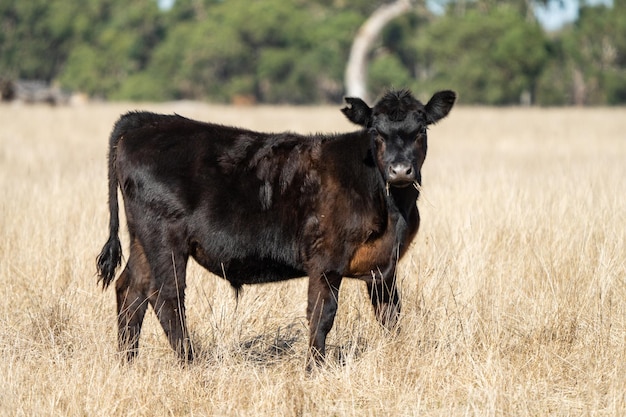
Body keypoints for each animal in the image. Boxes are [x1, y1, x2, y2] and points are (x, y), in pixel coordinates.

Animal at [96, 88, 454, 368]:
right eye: (375, 132)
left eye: (421, 130)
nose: (400, 170)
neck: (392, 207)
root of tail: (146, 120)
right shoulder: (326, 259)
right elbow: (322, 314)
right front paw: (314, 369)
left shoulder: (385, 265)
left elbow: (390, 315)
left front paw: (397, 355)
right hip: (165, 238)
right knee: (166, 295)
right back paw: (190, 363)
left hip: (142, 239)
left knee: (131, 289)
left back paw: (127, 362)